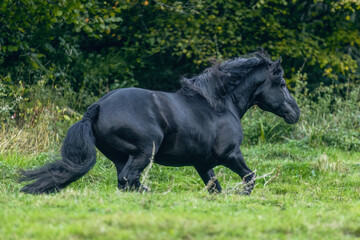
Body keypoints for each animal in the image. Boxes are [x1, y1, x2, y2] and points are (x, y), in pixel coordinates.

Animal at [19, 51, 300, 194]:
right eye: (281, 83)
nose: (295, 113)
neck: (219, 104)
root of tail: (98, 107)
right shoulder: (230, 154)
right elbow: (249, 176)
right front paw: (242, 196)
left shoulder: (202, 163)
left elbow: (215, 187)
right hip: (144, 152)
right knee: (129, 180)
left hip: (122, 156)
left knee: (124, 182)